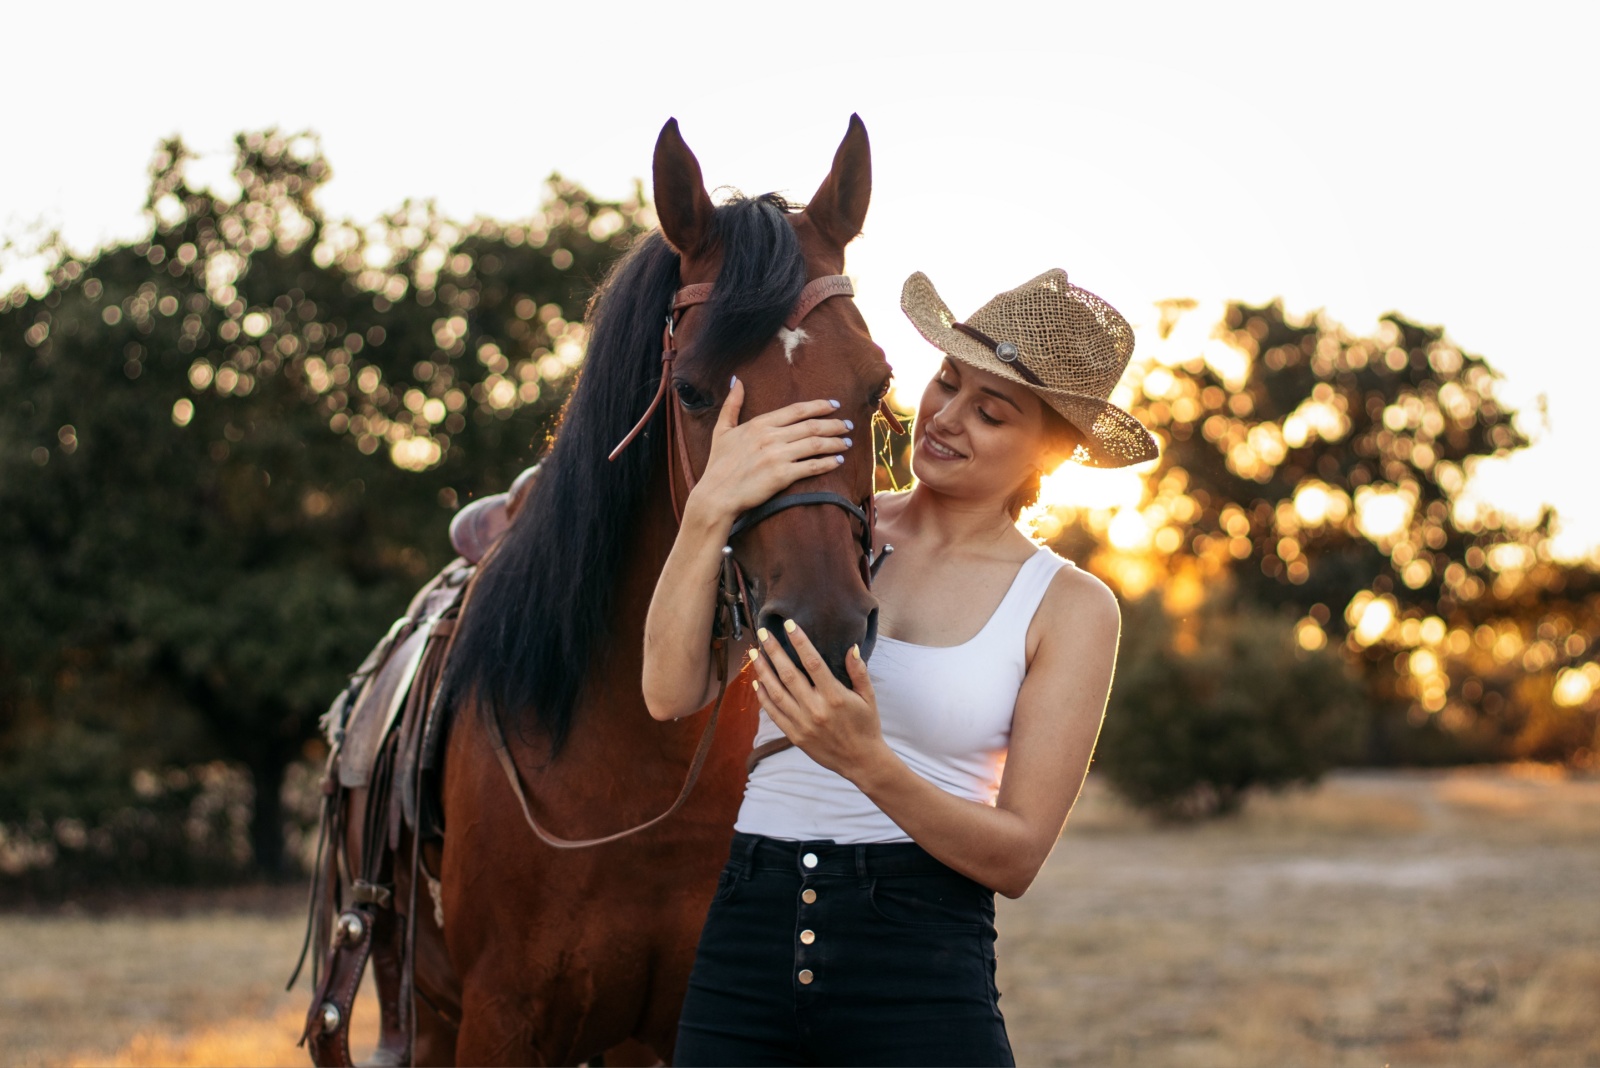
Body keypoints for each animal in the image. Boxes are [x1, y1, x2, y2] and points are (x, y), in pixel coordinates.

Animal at [318, 116, 896, 1068]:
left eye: (877, 384)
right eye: (692, 392)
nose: (823, 626)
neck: (639, 755)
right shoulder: (500, 1018)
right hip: (429, 1013)